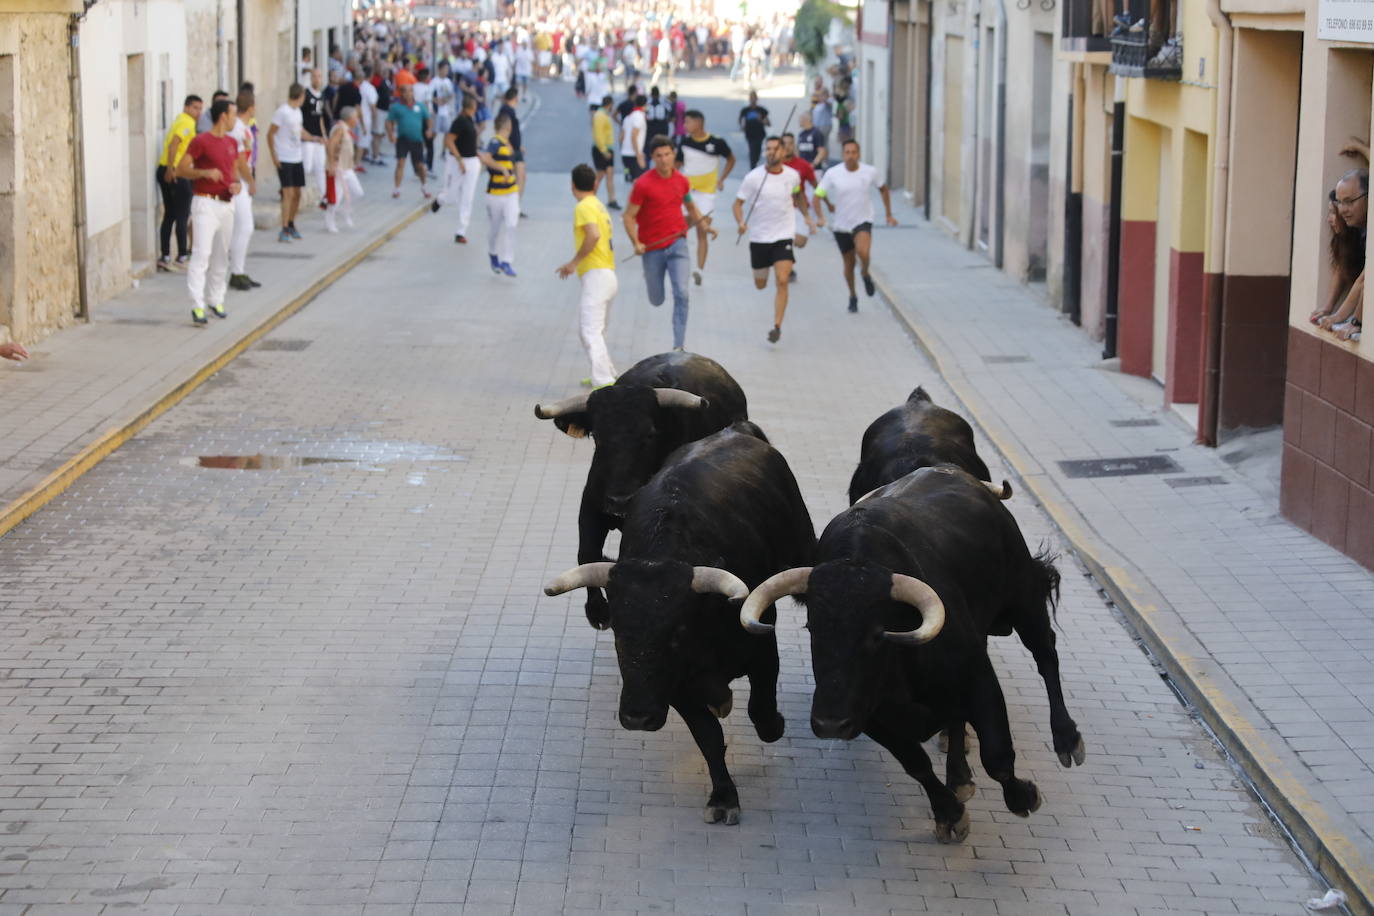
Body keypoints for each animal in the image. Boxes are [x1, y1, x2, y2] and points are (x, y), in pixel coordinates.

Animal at [535, 351, 752, 631]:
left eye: (649, 434)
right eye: (597, 436)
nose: (620, 500)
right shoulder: (592, 504)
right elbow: (586, 553)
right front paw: (597, 610)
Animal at [541, 425, 807, 829]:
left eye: (676, 633)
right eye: (617, 631)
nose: (637, 716)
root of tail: (735, 430)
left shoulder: (762, 652)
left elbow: (761, 713)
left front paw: (774, 724)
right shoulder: (675, 686)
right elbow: (708, 737)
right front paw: (723, 796)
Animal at [741, 466, 1082, 845]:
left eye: (877, 633)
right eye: (812, 627)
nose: (829, 724)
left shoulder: (978, 679)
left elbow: (996, 755)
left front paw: (1024, 796)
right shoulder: (869, 715)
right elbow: (917, 765)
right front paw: (950, 813)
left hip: (1023, 599)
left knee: (1046, 654)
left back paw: (1067, 738)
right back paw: (959, 777)